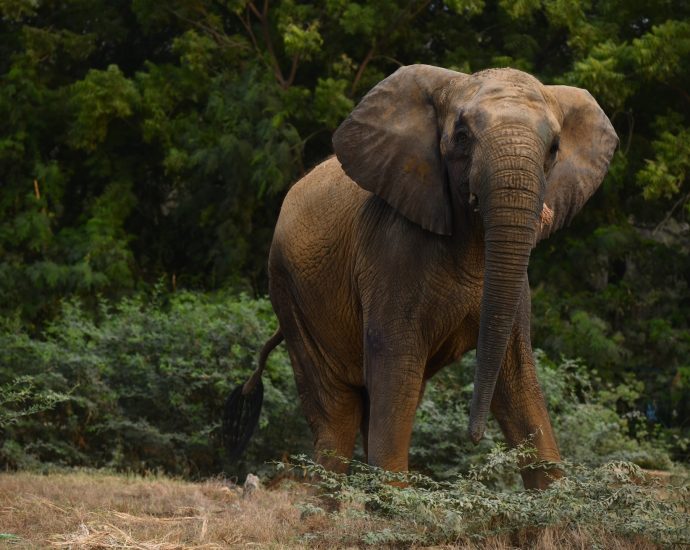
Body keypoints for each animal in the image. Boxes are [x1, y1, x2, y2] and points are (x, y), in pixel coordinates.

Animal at [224, 64, 618, 489]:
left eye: (554, 148)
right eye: (461, 136)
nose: (474, 438)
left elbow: (516, 378)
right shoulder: (391, 251)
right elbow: (395, 363)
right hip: (289, 293)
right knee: (341, 413)